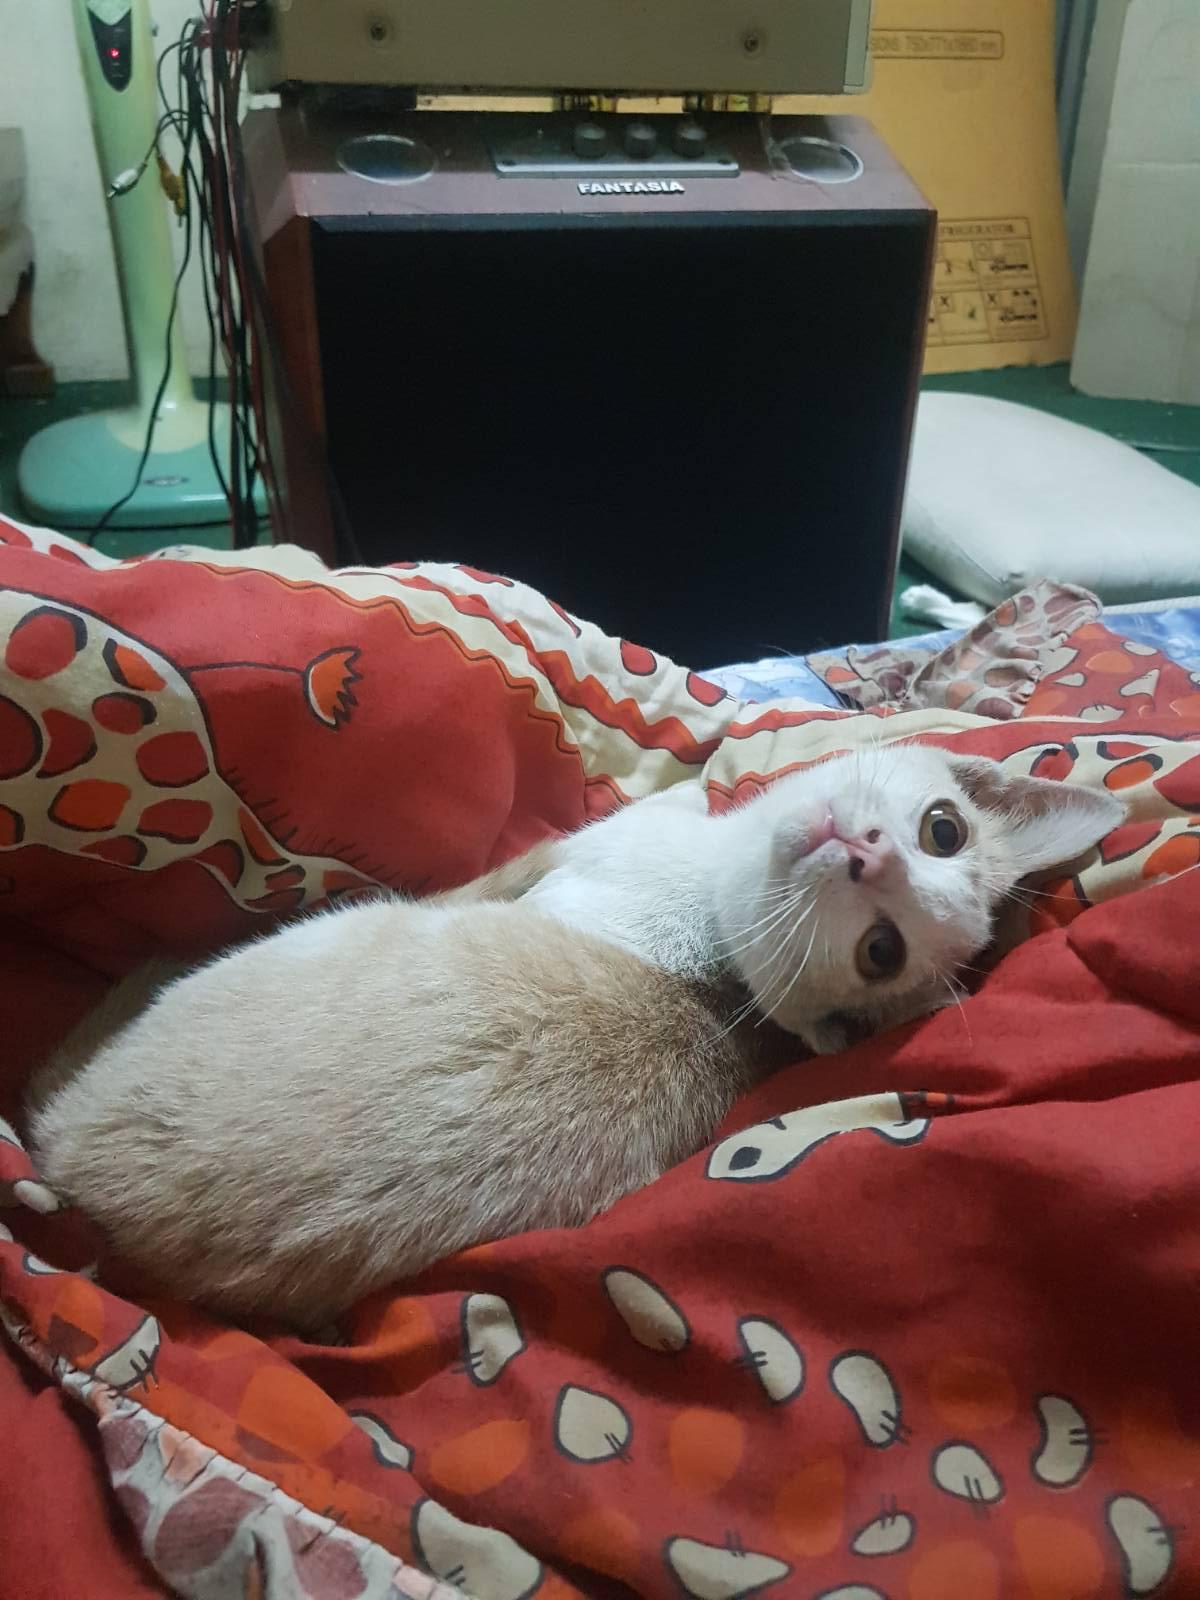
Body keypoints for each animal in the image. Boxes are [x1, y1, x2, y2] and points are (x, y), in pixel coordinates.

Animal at [28, 742, 1122, 1326]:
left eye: (881, 951)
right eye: (943, 829)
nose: (869, 852)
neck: (718, 968)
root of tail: (66, 1164)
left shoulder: (545, 864)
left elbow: (503, 867)